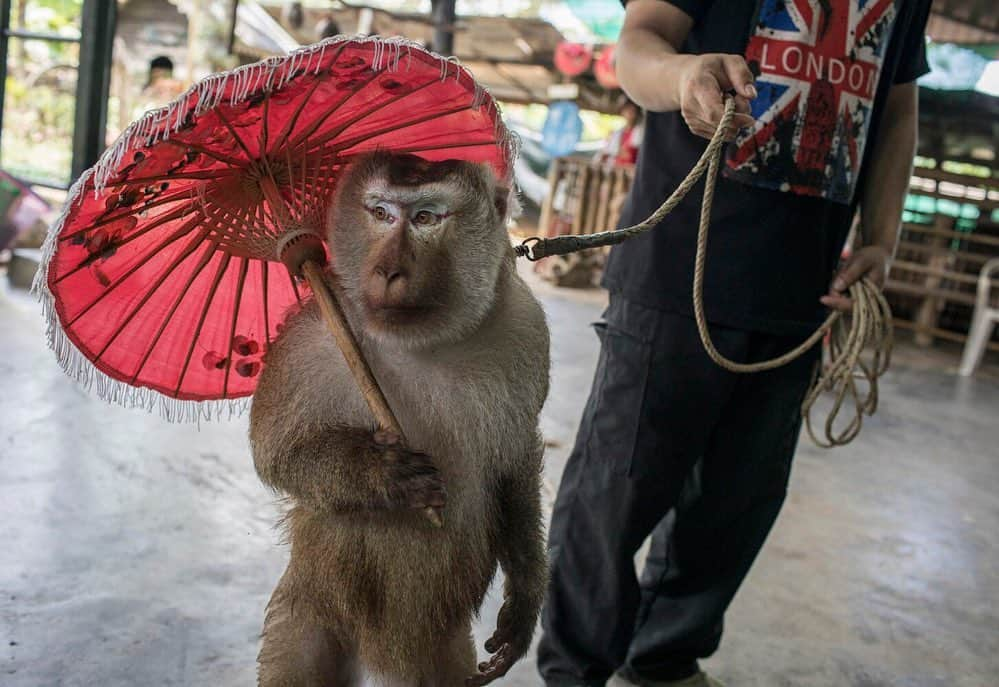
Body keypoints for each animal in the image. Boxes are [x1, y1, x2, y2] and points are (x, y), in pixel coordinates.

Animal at [247, 152, 552, 687]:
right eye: (382, 213)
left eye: (426, 217)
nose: (389, 269)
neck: (422, 342)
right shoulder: (310, 338)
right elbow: (275, 452)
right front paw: (381, 473)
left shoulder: (525, 330)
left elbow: (514, 461)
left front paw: (524, 599)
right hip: (310, 605)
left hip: (439, 653)